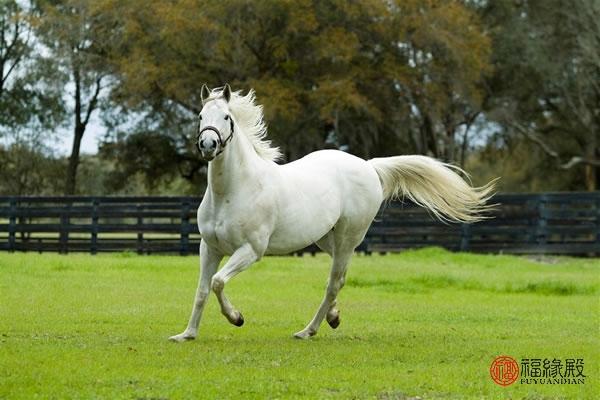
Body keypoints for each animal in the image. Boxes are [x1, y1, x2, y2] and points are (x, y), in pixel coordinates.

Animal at [169, 83, 492, 340]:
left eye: (227, 117)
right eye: (201, 117)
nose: (208, 144)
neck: (233, 191)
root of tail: (368, 166)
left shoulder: (251, 250)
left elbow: (218, 282)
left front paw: (237, 318)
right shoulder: (209, 248)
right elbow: (202, 290)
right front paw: (187, 335)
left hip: (349, 237)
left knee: (334, 282)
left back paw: (308, 331)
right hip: (328, 238)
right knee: (339, 278)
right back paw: (333, 317)